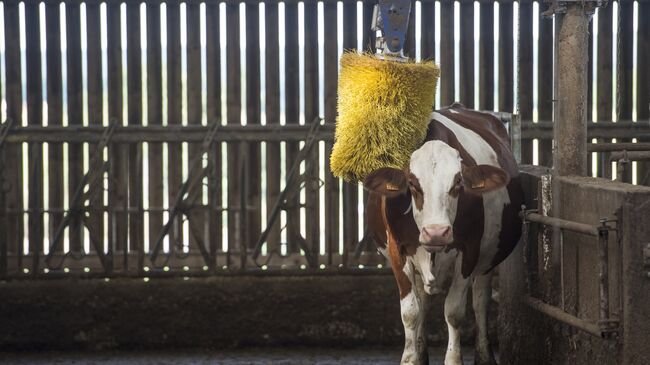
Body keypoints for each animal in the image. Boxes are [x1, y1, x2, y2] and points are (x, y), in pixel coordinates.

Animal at [362, 104, 524, 362]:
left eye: (458, 182)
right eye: (412, 183)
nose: (436, 232)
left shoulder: (470, 250)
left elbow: (454, 311)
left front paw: (453, 359)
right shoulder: (398, 250)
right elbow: (411, 311)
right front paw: (410, 358)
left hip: (488, 260)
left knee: (480, 300)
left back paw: (484, 355)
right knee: (424, 302)